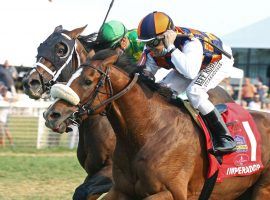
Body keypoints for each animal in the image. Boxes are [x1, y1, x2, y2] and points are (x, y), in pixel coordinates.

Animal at [21, 25, 115, 199]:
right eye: (40, 48)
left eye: (60, 50)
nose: (30, 83)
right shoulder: (92, 172)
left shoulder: (112, 171)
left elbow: (83, 191)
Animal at [42, 49, 270, 198]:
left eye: (88, 81)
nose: (52, 115)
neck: (149, 132)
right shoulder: (121, 190)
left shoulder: (170, 193)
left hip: (262, 190)